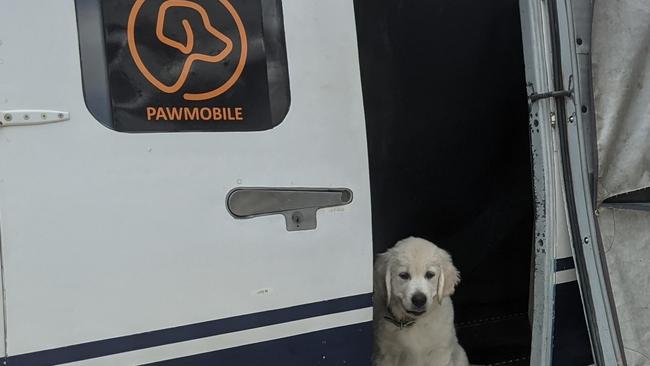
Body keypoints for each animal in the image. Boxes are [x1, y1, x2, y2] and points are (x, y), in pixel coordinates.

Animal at [372, 237, 468, 366]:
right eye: (403, 275)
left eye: (430, 274)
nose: (419, 300)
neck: (414, 322)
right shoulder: (386, 354)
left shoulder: (439, 352)